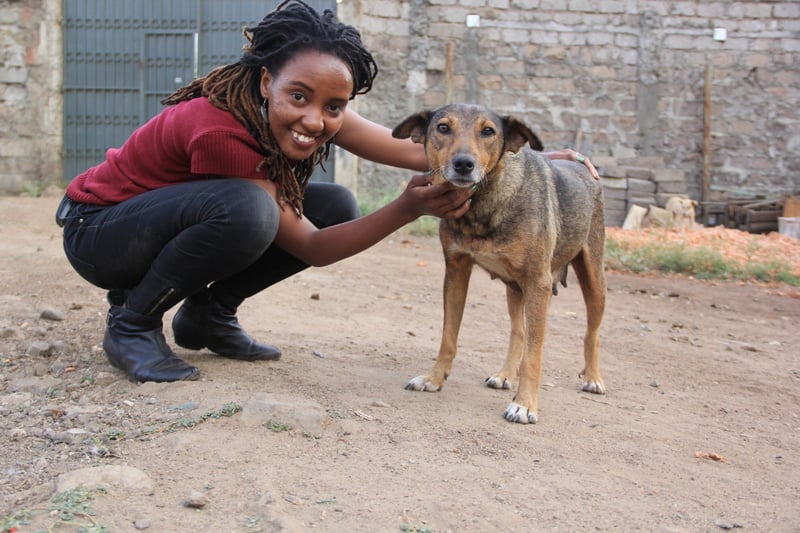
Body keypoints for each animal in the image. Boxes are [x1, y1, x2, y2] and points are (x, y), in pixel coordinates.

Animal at [394, 104, 608, 424]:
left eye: (488, 131)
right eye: (443, 128)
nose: (463, 164)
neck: (483, 201)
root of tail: (585, 169)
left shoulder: (539, 283)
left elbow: (534, 355)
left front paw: (525, 404)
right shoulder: (456, 270)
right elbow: (448, 336)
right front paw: (434, 378)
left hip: (592, 278)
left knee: (591, 334)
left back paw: (593, 378)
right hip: (515, 289)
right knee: (518, 332)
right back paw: (505, 374)